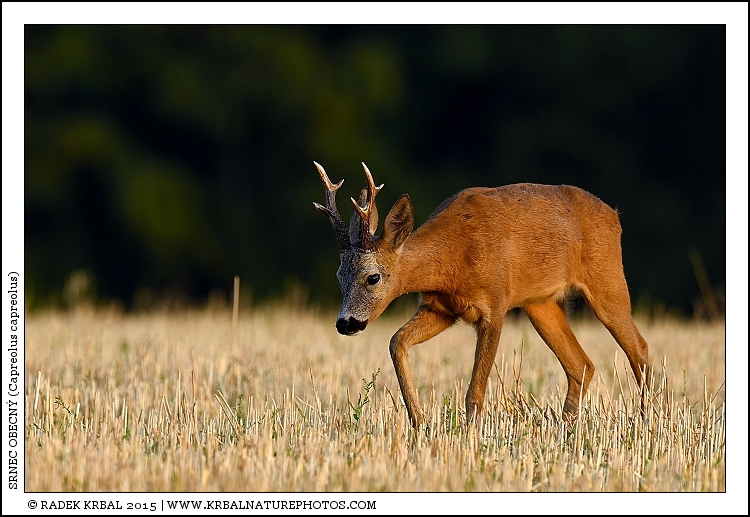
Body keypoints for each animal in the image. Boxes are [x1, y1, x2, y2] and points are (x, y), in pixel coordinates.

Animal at [312, 161, 650, 428]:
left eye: (373, 277)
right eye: (340, 276)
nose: (346, 323)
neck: (453, 259)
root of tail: (614, 215)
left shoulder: (494, 305)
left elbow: (475, 392)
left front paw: (469, 434)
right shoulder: (441, 308)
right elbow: (397, 342)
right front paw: (419, 421)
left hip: (607, 277)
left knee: (639, 349)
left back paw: (647, 421)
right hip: (540, 303)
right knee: (581, 364)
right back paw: (566, 428)